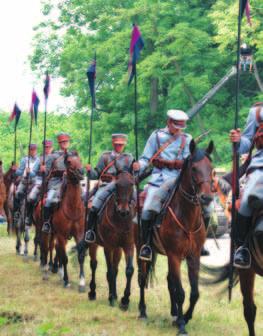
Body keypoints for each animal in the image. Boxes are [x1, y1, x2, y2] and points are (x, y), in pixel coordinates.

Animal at [40, 154, 85, 288]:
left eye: (80, 160)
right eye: (69, 162)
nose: (81, 171)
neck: (72, 208)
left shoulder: (79, 234)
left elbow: (80, 255)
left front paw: (82, 281)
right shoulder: (61, 235)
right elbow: (64, 258)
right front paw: (66, 280)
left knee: (54, 248)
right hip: (46, 230)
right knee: (45, 247)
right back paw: (45, 270)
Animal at [78, 169, 136, 308]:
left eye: (131, 184)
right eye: (117, 185)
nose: (123, 211)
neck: (120, 220)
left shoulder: (128, 246)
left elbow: (128, 270)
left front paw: (125, 300)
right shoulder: (108, 247)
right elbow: (109, 272)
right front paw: (111, 298)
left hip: (118, 249)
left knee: (115, 269)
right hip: (93, 243)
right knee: (93, 264)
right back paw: (92, 292)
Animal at [137, 140, 216, 336]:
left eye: (211, 168)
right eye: (194, 168)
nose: (206, 198)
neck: (186, 217)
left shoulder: (192, 256)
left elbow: (194, 293)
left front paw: (185, 317)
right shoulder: (174, 255)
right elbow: (181, 292)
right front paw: (181, 325)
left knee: (169, 280)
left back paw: (173, 312)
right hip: (141, 248)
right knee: (142, 278)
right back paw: (142, 311)